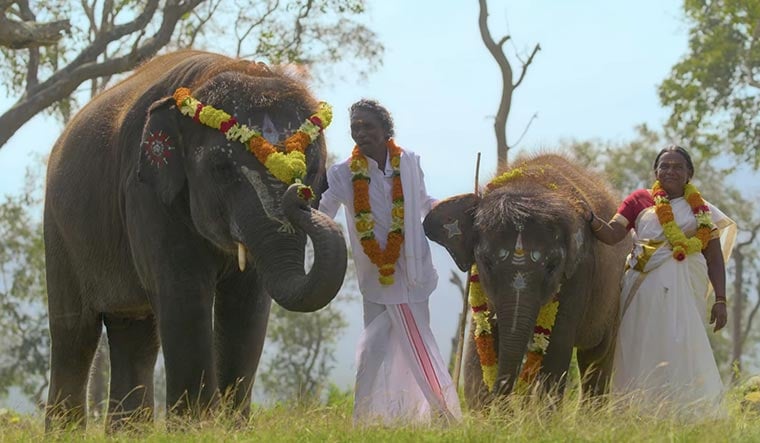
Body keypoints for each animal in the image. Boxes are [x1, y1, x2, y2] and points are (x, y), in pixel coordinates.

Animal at [43, 50, 347, 430]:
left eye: (314, 169)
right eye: (222, 169)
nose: (298, 192)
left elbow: (248, 302)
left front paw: (232, 428)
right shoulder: (145, 192)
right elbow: (183, 291)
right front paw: (196, 427)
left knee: (134, 334)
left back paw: (130, 432)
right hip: (59, 231)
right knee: (74, 335)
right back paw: (64, 431)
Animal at [424, 153, 630, 408]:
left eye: (552, 266)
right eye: (486, 262)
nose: (504, 400)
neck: (530, 183)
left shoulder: (580, 272)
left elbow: (556, 348)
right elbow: (477, 343)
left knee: (596, 358)